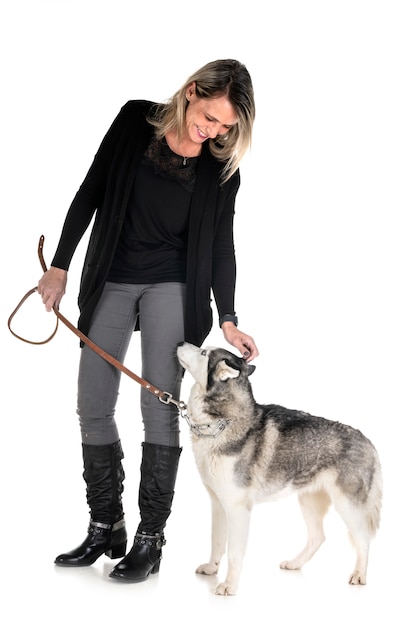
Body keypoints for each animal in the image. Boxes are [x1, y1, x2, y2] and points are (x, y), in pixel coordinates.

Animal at [176, 344, 384, 592]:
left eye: (204, 353)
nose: (179, 343)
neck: (221, 423)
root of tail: (368, 441)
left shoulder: (238, 508)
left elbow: (233, 552)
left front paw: (229, 585)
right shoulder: (218, 503)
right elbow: (216, 541)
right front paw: (211, 568)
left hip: (348, 506)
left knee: (363, 539)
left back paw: (359, 574)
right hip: (308, 501)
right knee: (318, 537)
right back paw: (295, 563)